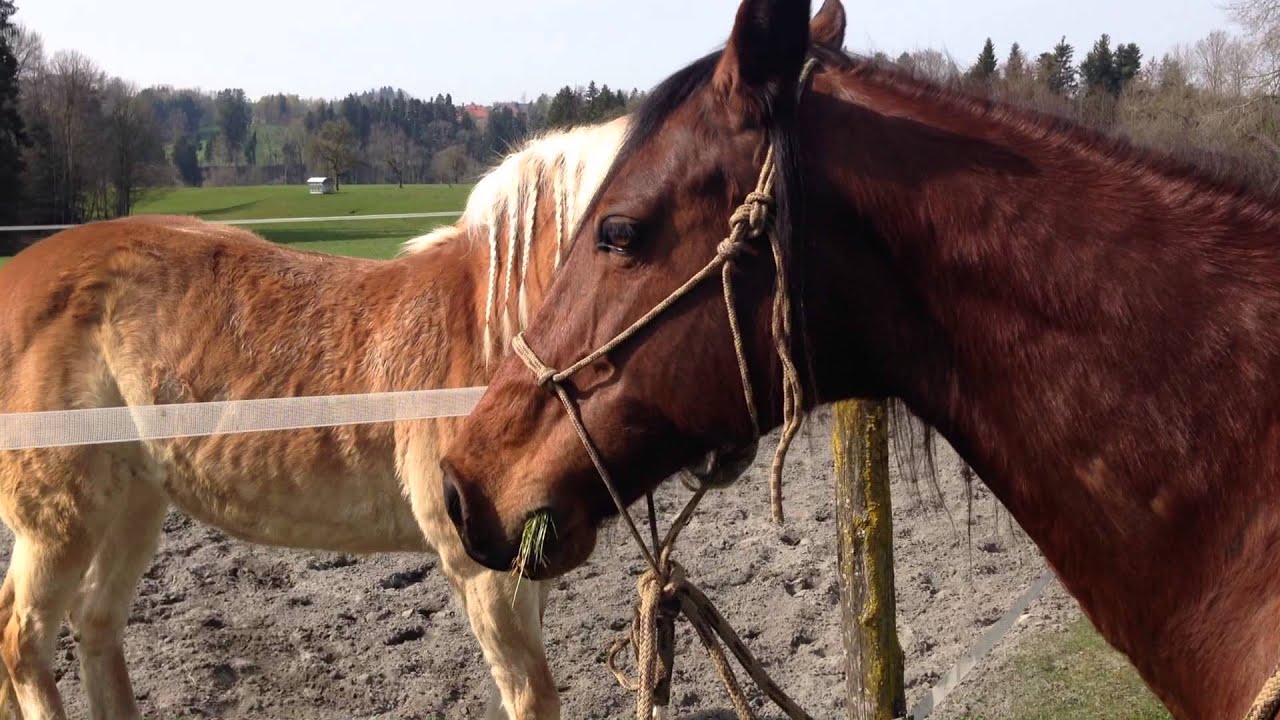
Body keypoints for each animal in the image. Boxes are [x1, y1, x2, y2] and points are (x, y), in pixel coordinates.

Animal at [0, 115, 627, 720]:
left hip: (134, 503)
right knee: (23, 641)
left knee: (94, 623)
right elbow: (530, 697)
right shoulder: (484, 573)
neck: (501, 333)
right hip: (63, 519)